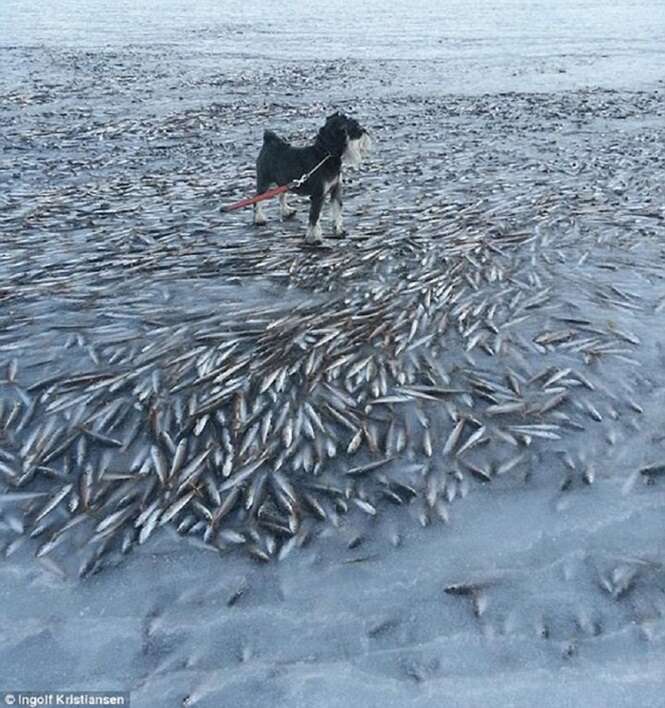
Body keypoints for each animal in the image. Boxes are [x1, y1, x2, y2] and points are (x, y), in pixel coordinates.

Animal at [253, 111, 368, 243]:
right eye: (349, 127)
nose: (363, 130)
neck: (325, 155)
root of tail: (269, 141)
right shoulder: (318, 195)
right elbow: (314, 216)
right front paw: (313, 237)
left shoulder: (336, 190)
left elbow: (337, 211)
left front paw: (338, 230)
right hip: (264, 182)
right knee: (257, 199)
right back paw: (259, 219)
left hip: (284, 182)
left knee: (281, 195)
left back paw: (287, 211)